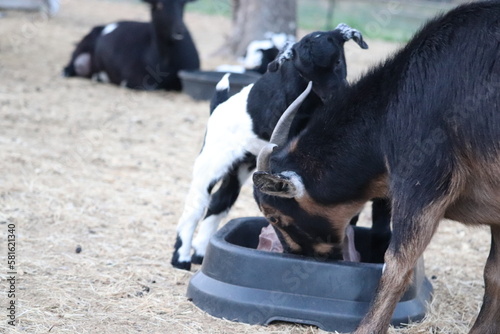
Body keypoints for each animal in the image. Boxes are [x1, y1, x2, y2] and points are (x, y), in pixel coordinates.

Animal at [170, 23, 374, 270]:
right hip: (212, 161)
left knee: (219, 202)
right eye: (305, 73)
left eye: (337, 61)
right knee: (195, 205)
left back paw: (200, 253)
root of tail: (218, 105)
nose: (336, 95)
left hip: (241, 166)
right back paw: (181, 258)